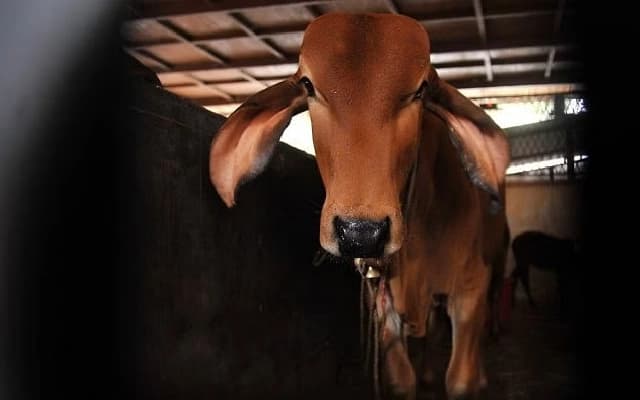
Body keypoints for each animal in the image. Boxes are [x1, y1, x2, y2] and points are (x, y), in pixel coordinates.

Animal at [208, 13, 510, 400]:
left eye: (421, 90)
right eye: (308, 85)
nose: (361, 234)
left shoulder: (470, 290)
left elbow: (460, 379)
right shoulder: (383, 303)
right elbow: (401, 380)